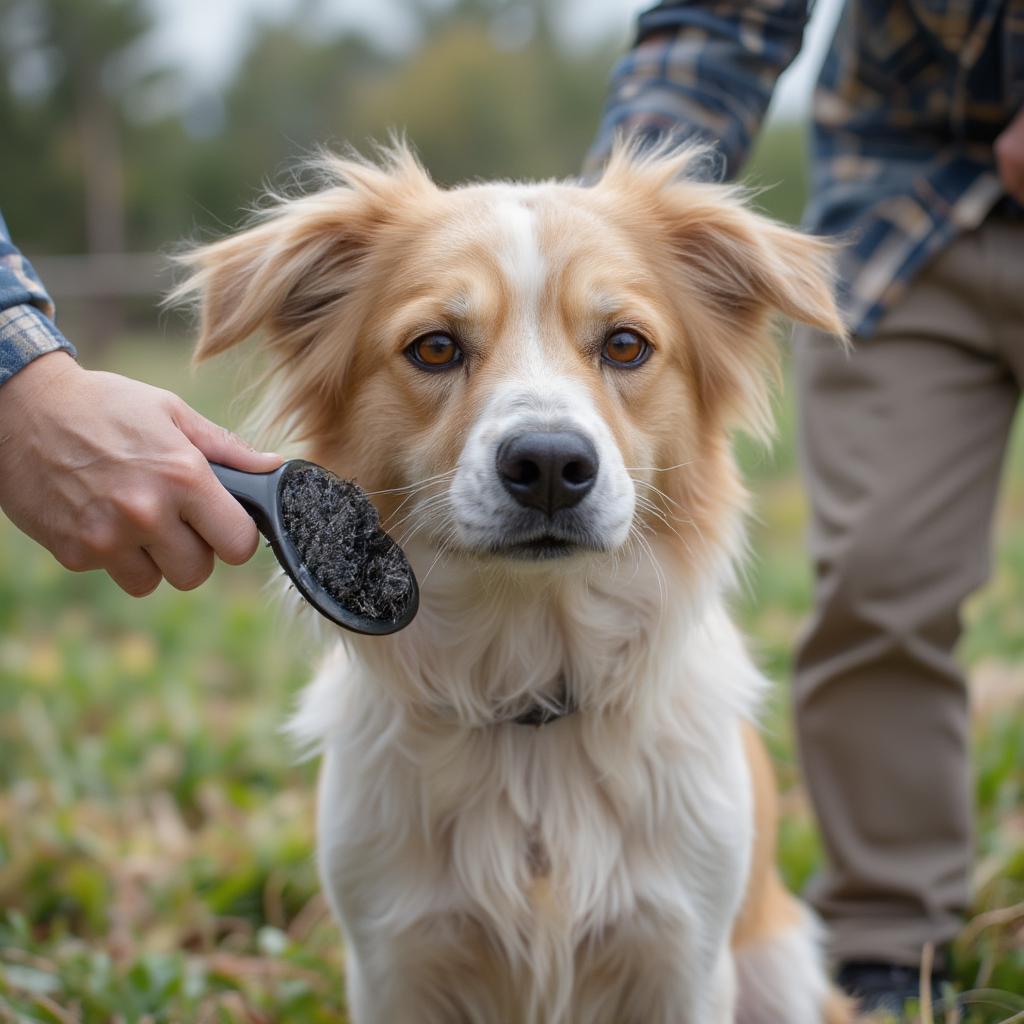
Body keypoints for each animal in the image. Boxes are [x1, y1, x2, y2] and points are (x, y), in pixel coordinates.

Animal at [178, 140, 856, 1019]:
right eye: (435, 347)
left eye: (626, 344)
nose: (550, 465)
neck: (530, 690)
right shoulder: (395, 958)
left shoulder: (681, 957)